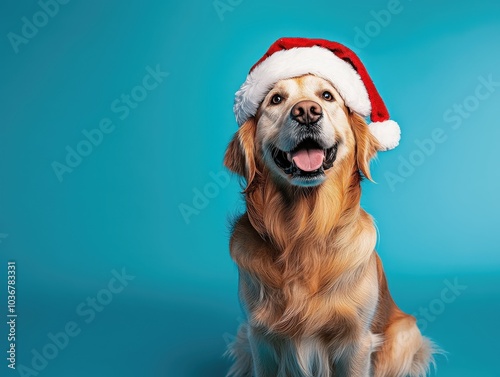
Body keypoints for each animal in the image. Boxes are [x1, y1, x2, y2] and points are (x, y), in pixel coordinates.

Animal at [225, 71, 436, 376]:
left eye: (327, 96)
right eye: (276, 99)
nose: (306, 112)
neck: (305, 231)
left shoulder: (356, 341)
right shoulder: (259, 337)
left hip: (403, 336)